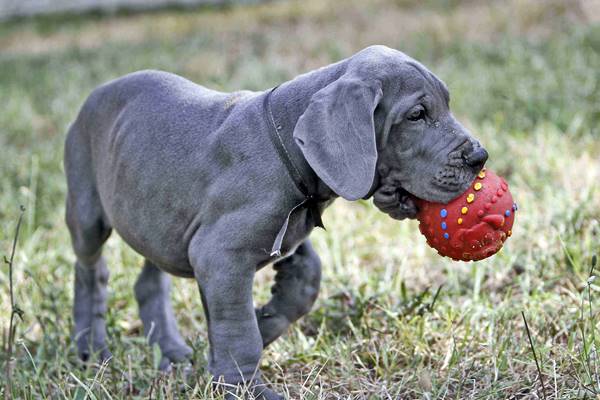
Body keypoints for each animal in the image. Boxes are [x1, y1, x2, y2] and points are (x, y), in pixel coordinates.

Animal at [64, 45, 488, 398]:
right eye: (417, 115)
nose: (479, 157)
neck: (284, 141)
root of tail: (95, 93)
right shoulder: (220, 255)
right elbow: (239, 331)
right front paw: (242, 385)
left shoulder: (289, 231)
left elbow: (307, 278)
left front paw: (264, 319)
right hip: (87, 211)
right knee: (91, 271)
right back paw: (90, 348)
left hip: (154, 215)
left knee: (148, 279)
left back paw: (169, 350)